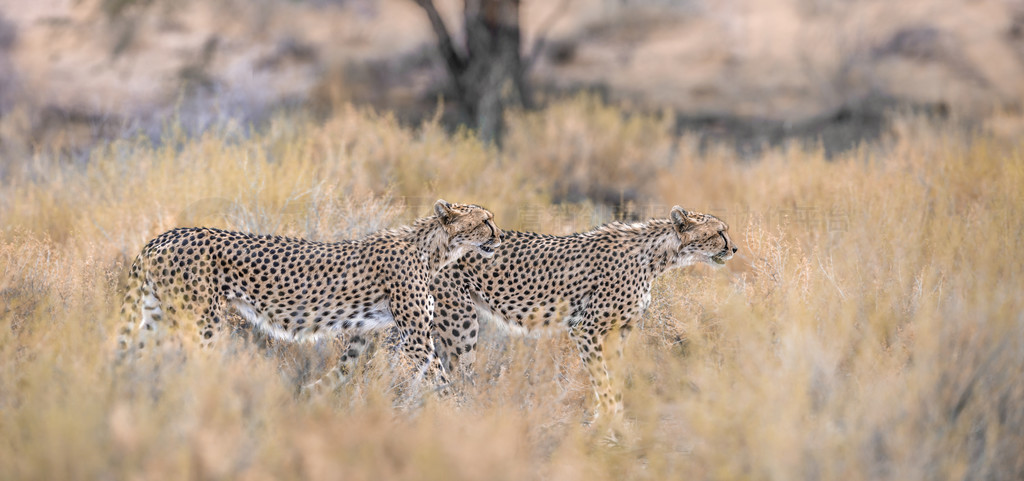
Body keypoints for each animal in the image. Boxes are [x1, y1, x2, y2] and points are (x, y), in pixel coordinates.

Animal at [117, 199, 503, 390]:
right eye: (485, 221)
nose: (499, 236)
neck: (433, 250)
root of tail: (164, 235)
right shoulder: (416, 338)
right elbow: (441, 378)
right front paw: (460, 418)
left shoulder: (365, 334)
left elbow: (341, 372)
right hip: (201, 322)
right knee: (189, 364)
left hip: (157, 317)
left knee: (134, 356)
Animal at [428, 206, 733, 421]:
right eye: (719, 232)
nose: (735, 248)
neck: (656, 258)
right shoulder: (586, 329)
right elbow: (602, 379)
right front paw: (609, 422)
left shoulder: (619, 332)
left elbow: (613, 377)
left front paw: (610, 417)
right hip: (460, 322)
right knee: (451, 374)